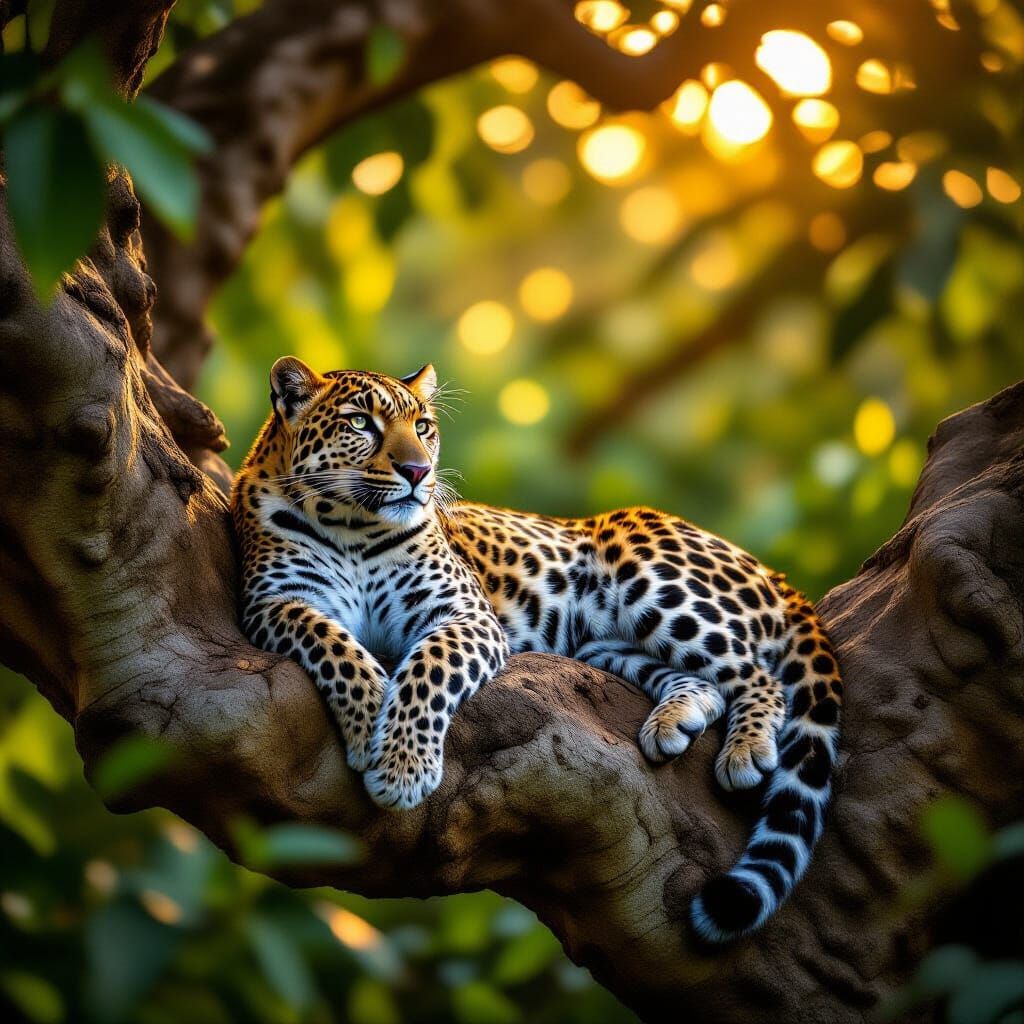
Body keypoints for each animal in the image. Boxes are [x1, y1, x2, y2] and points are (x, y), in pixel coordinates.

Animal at [230, 356, 843, 943]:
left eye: (423, 427)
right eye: (361, 423)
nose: (417, 471)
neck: (353, 529)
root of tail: (764, 567)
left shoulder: (466, 614)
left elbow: (429, 667)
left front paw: (404, 766)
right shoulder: (276, 603)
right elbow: (335, 646)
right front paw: (366, 726)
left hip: (648, 571)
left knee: (759, 676)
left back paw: (745, 751)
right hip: (603, 643)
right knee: (707, 680)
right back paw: (673, 722)